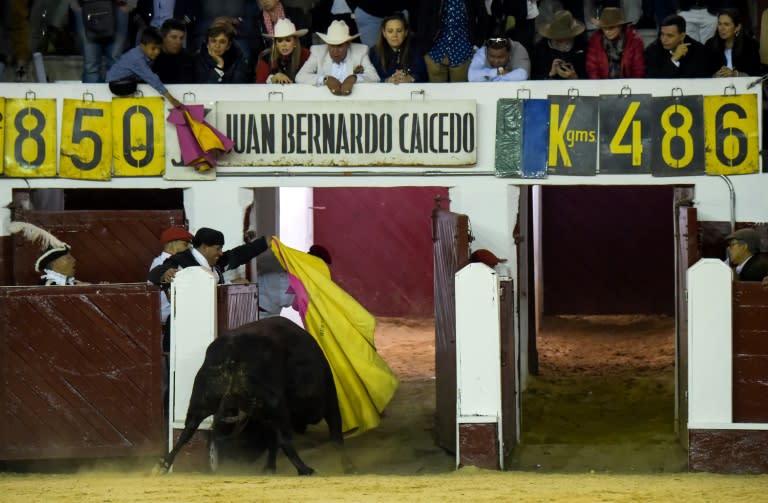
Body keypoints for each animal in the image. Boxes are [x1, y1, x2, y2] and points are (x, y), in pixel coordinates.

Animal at [156, 318, 348, 476]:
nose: (243, 458)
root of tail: (232, 352)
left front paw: (269, 467)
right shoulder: (329, 399)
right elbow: (335, 429)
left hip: (202, 397)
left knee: (189, 427)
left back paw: (163, 465)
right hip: (276, 404)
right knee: (285, 438)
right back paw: (306, 470)